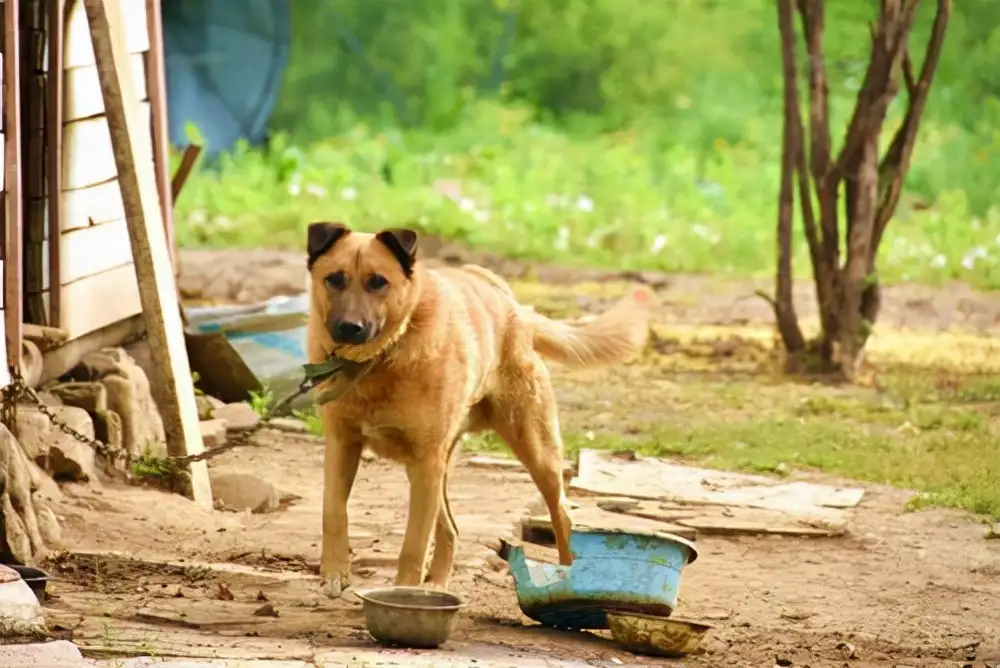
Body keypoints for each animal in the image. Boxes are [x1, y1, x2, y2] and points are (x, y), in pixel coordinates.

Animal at [308, 224, 652, 596]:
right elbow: (333, 512)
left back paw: (567, 574)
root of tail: (508, 300)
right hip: (437, 469)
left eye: (378, 282)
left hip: (533, 450)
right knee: (451, 528)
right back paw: (436, 586)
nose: (349, 327)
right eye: (334, 279)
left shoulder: (426, 460)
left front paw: (400, 591)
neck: (378, 360)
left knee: (561, 512)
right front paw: (335, 573)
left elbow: (413, 545)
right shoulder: (342, 445)